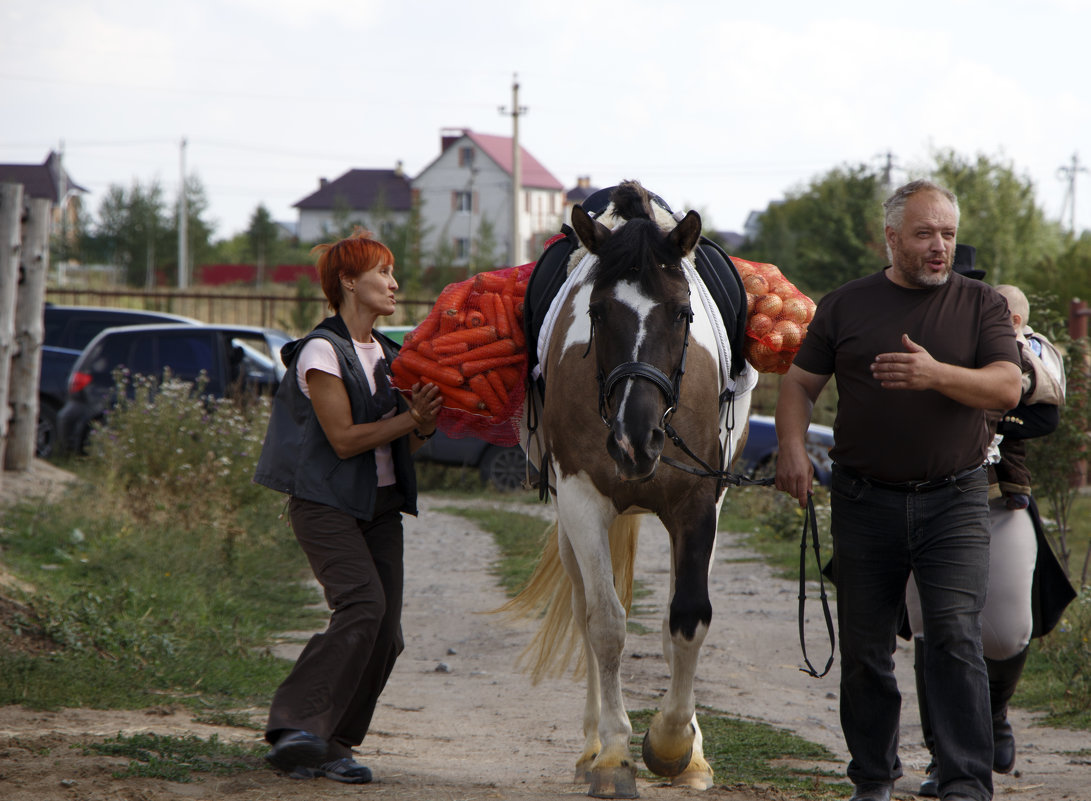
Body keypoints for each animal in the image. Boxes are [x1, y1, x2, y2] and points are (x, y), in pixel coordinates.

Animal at [510, 178, 759, 798]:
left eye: (682, 312)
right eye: (598, 312)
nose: (635, 438)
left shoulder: (698, 505)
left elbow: (687, 619)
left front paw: (675, 748)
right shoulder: (581, 501)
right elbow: (605, 623)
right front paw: (615, 755)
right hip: (572, 524)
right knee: (584, 611)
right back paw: (592, 745)